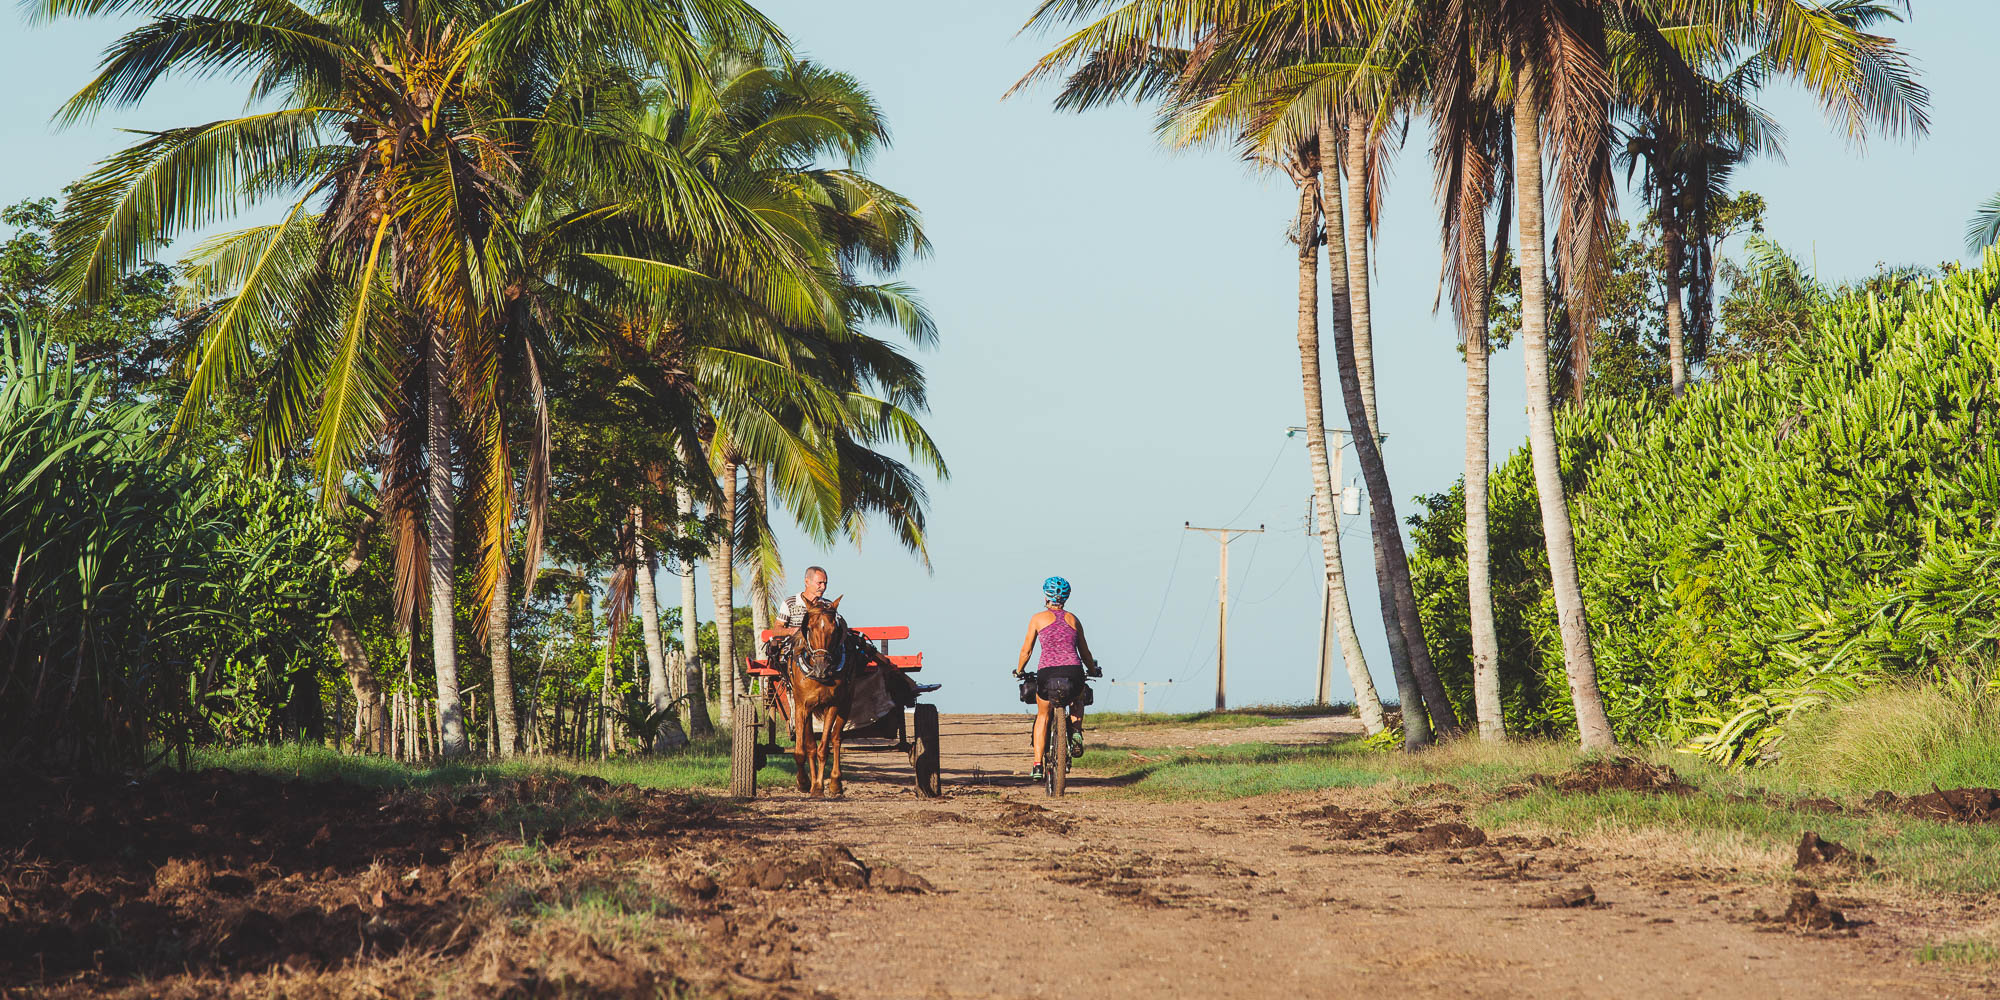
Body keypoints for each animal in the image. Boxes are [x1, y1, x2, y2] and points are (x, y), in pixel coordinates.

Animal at [788, 592, 852, 796]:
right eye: (809, 627)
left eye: (834, 630)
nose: (822, 667)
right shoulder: (802, 707)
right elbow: (803, 750)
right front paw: (804, 782)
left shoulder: (833, 705)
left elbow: (824, 748)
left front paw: (819, 786)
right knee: (811, 746)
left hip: (847, 703)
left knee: (837, 739)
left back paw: (835, 782)